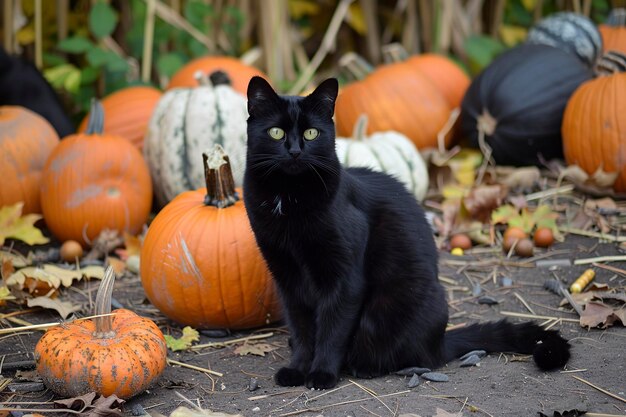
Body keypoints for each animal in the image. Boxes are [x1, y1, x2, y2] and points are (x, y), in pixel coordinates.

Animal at [243, 75, 572, 390]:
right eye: (276, 133)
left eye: (311, 133)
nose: (295, 151)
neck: (289, 198)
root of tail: (441, 341)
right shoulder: (286, 275)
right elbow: (302, 330)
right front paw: (297, 369)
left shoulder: (344, 279)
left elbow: (332, 331)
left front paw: (322, 374)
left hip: (389, 311)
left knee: (404, 353)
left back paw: (366, 366)